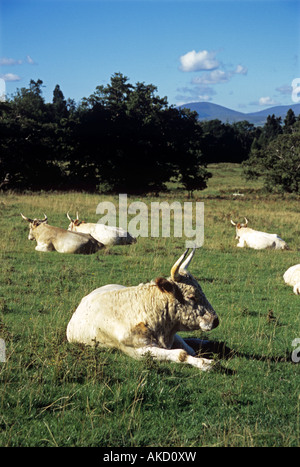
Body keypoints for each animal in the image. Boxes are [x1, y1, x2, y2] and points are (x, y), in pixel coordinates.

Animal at [67, 249, 219, 372]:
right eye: (191, 297)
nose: (215, 320)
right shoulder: (138, 350)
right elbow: (181, 353)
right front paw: (205, 363)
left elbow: (189, 348)